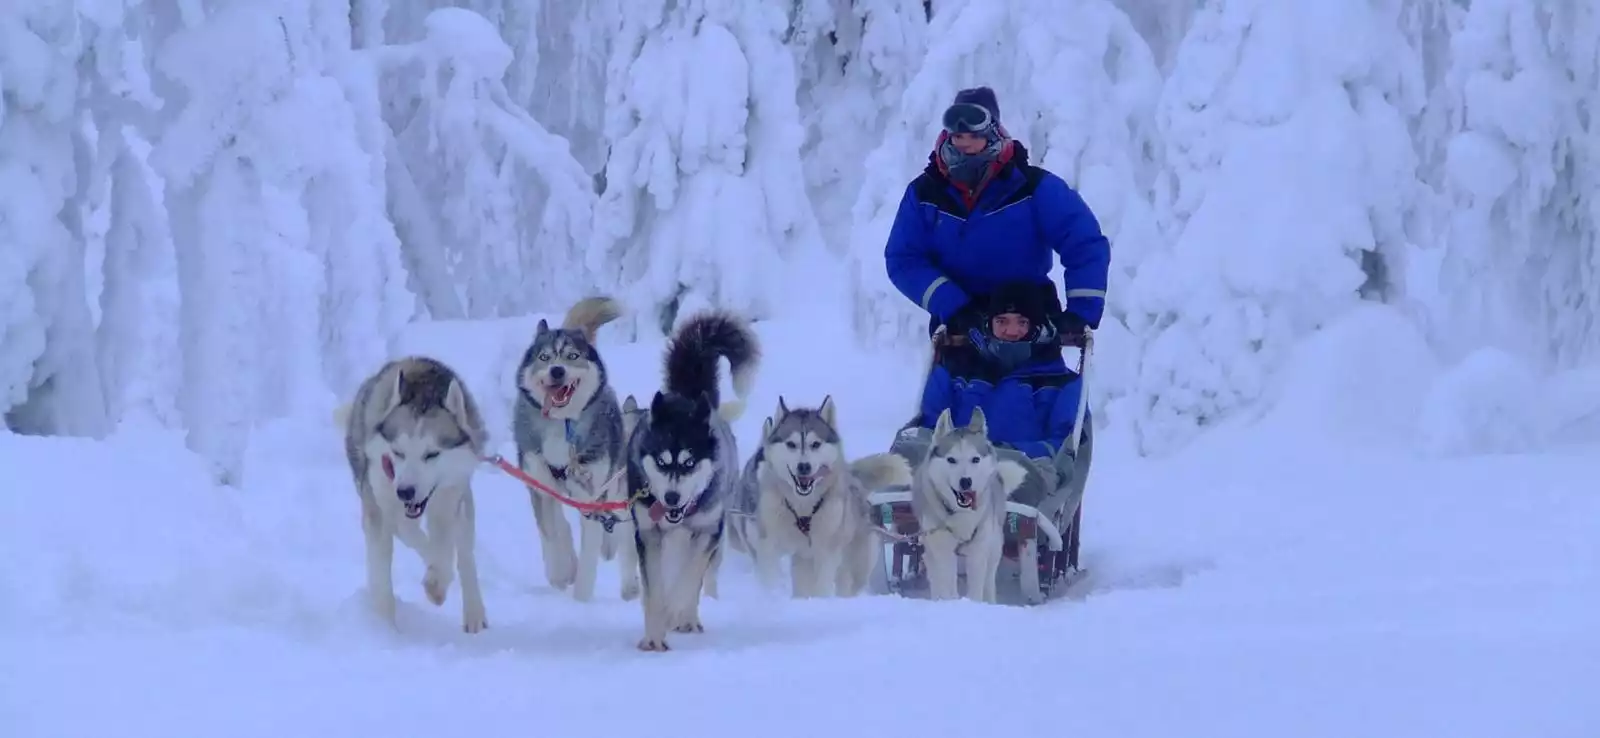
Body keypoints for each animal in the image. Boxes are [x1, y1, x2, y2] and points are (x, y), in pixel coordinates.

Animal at [336, 358, 486, 633]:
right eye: (398, 452)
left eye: (432, 454)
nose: (405, 491)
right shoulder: (380, 502)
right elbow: (398, 543)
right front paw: (384, 628)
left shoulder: (447, 500)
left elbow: (445, 550)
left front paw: (437, 583)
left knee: (465, 553)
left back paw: (474, 611)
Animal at [512, 296, 636, 601]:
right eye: (545, 357)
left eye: (572, 356)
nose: (557, 370)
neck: (562, 424)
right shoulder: (539, 484)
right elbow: (551, 532)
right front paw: (560, 572)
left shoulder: (591, 495)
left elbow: (590, 549)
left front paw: (581, 598)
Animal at [624, 310, 755, 649]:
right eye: (661, 462)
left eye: (689, 462)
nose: (671, 498)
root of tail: (688, 396)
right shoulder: (648, 534)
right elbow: (655, 590)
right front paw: (654, 637)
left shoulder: (707, 531)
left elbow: (688, 579)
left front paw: (675, 612)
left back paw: (687, 618)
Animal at [736, 393, 915, 595]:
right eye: (791, 444)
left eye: (815, 444)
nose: (804, 466)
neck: (802, 510)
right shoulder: (768, 545)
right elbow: (770, 577)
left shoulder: (825, 553)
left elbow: (821, 586)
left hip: (851, 566)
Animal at [915, 405, 1024, 601]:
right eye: (951, 459)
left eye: (975, 459)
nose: (966, 481)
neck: (961, 515)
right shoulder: (943, 552)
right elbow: (948, 586)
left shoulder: (978, 553)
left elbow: (975, 591)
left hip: (993, 549)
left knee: (988, 580)